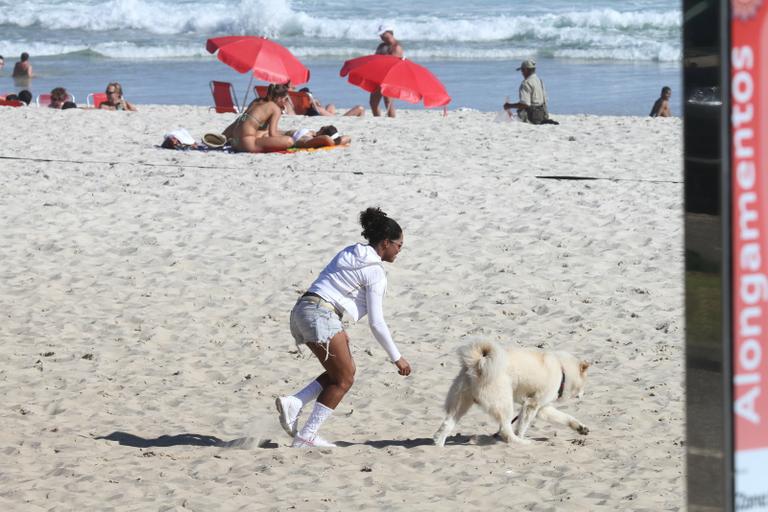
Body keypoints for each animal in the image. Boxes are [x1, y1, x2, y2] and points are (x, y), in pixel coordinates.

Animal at [436, 342, 592, 446]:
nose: (584, 394)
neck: (562, 370)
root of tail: (478, 364)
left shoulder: (542, 408)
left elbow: (564, 417)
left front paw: (580, 427)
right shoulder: (532, 404)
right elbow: (522, 425)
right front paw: (521, 437)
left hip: (461, 403)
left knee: (447, 423)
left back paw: (439, 444)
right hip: (504, 403)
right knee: (506, 430)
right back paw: (520, 442)